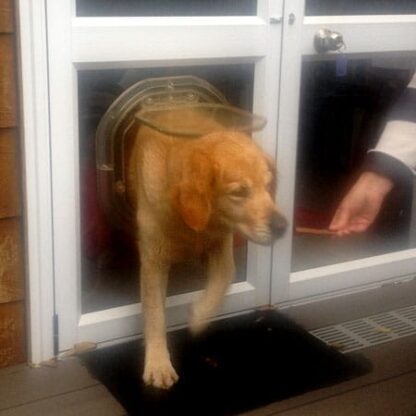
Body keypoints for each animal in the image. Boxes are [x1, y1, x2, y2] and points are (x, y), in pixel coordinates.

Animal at [129, 108, 286, 390]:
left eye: (268, 186)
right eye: (239, 192)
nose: (282, 227)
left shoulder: (221, 246)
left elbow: (224, 278)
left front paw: (200, 314)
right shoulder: (154, 262)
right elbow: (155, 314)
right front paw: (158, 363)